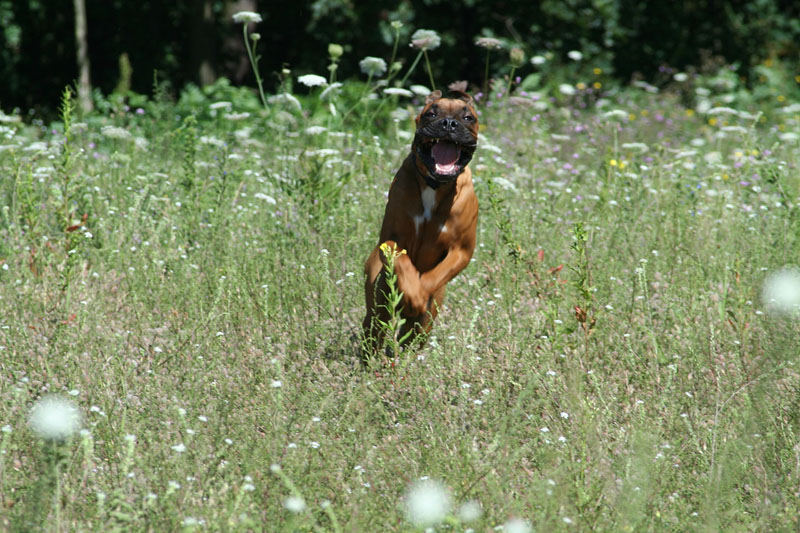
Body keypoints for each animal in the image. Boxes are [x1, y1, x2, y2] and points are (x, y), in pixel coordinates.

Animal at [364, 89, 482, 352]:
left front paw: (417, 295)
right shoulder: (392, 239)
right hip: (376, 306)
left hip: (425, 323)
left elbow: (434, 276)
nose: (449, 123)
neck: (435, 185)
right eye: (431, 114)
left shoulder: (461, 251)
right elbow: (403, 261)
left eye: (468, 117)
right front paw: (412, 291)